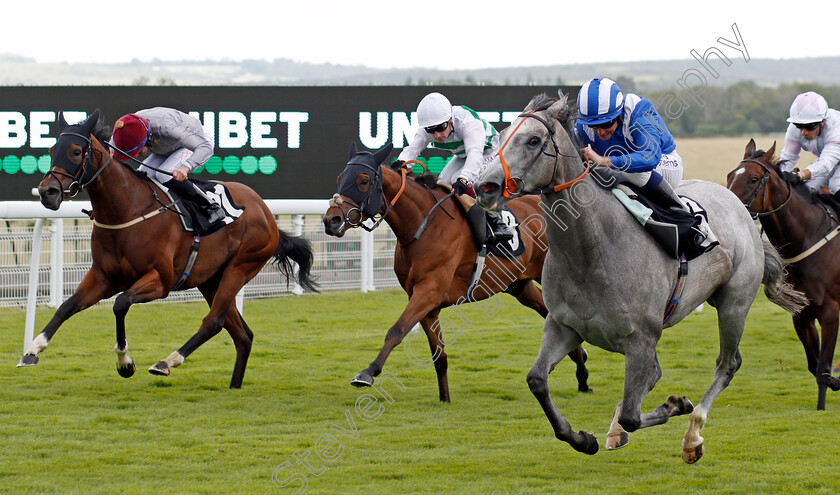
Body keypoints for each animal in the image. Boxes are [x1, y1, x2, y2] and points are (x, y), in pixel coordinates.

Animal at [17, 110, 318, 390]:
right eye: (51, 150)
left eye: (77, 151)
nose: (47, 192)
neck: (127, 210)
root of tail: (265, 212)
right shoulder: (103, 277)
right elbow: (66, 307)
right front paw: (32, 350)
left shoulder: (160, 281)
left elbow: (120, 304)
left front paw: (125, 363)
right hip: (210, 280)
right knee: (242, 334)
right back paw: (234, 386)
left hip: (239, 268)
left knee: (214, 321)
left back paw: (167, 362)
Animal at [322, 142, 592, 404]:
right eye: (340, 177)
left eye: (363, 180)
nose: (331, 220)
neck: (423, 226)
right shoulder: (425, 302)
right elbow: (438, 355)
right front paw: (445, 399)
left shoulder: (428, 291)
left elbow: (396, 331)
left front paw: (367, 373)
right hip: (520, 286)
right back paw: (582, 372)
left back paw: (582, 375)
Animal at [472, 94, 808, 464]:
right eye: (502, 136)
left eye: (533, 140)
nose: (484, 187)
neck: (591, 252)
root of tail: (739, 205)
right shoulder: (564, 326)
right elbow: (537, 381)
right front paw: (582, 438)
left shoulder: (640, 339)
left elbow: (635, 416)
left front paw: (676, 406)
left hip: (734, 303)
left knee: (727, 364)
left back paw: (692, 434)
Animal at [720, 140, 840, 410]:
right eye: (730, 175)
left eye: (753, 179)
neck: (808, 236)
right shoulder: (802, 315)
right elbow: (814, 365)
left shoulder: (830, 311)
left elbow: (823, 369)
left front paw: (822, 406)